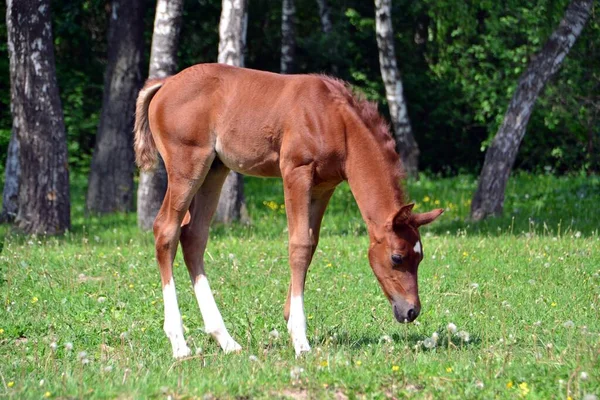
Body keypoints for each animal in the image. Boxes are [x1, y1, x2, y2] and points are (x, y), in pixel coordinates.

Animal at [137, 64, 446, 358]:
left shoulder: (324, 185)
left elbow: (311, 244)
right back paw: (179, 344)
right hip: (187, 165)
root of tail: (165, 84)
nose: (411, 311)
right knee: (166, 230)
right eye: (397, 257)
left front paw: (289, 320)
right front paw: (300, 337)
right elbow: (298, 245)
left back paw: (226, 340)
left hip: (214, 168)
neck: (336, 121)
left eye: (420, 258)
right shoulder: (296, 172)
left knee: (194, 236)